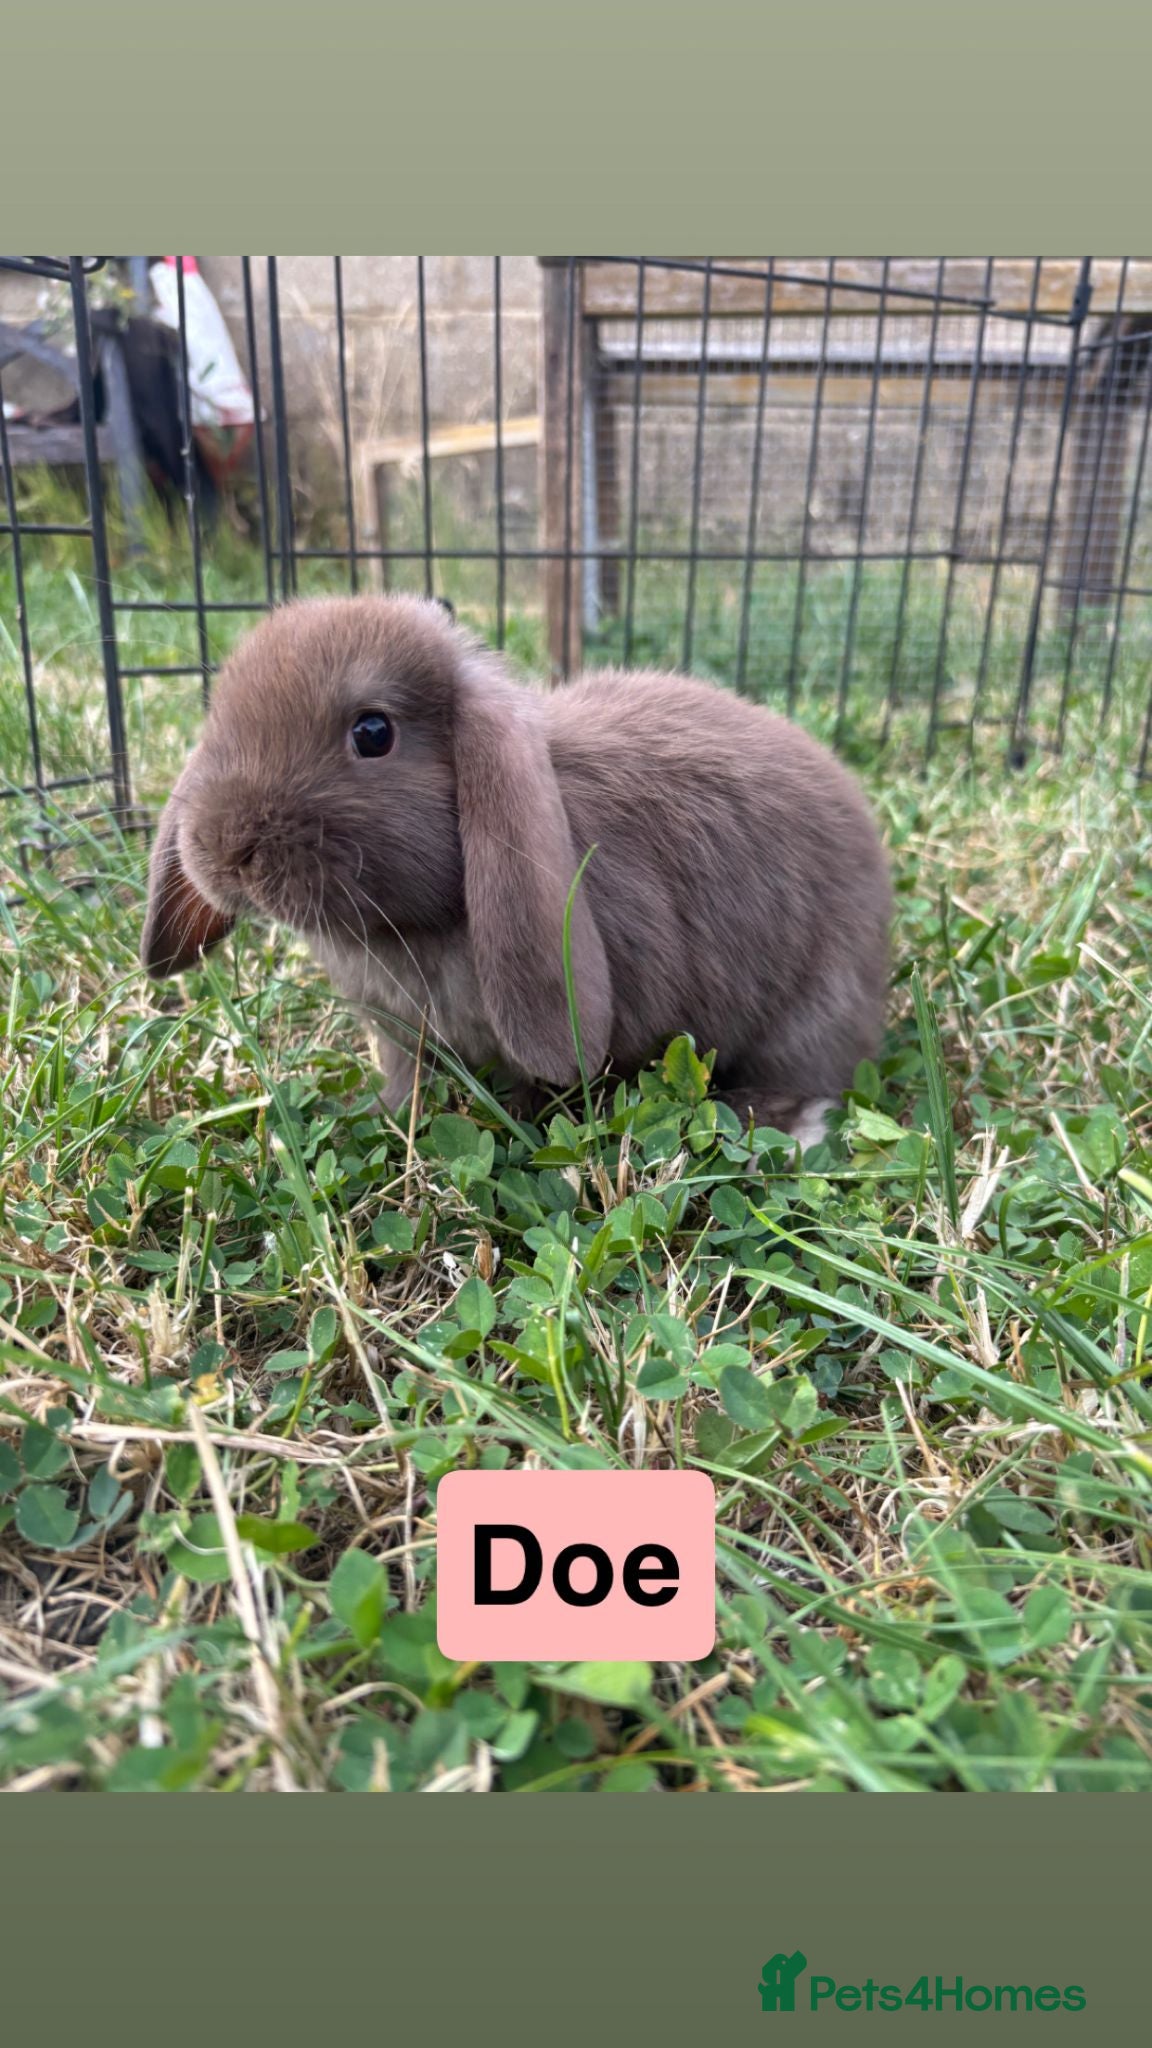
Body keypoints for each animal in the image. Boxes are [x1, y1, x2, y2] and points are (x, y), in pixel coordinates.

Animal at [141, 594, 891, 1145]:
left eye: (373, 733)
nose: (225, 849)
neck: (410, 931)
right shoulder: (396, 1032)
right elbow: (405, 1080)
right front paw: (387, 1117)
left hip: (812, 1010)